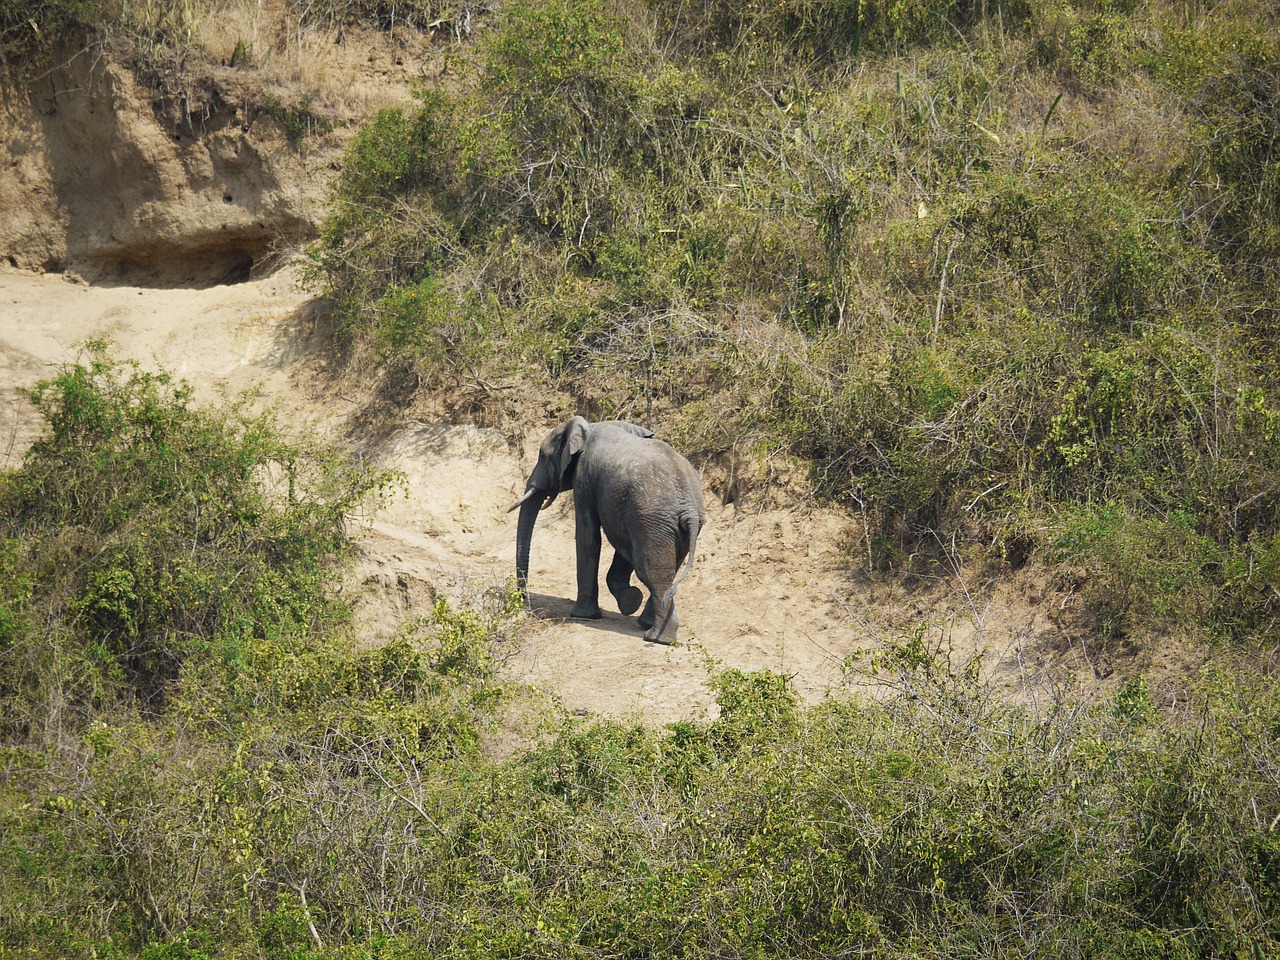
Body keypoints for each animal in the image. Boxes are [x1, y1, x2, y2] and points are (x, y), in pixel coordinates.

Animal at [509, 414, 706, 647]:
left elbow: (588, 537)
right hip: (667, 524)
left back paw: (657, 638)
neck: (590, 426)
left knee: (649, 570)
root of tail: (690, 507)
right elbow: (622, 546)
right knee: (663, 568)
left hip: (655, 520)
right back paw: (648, 626)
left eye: (542, 455)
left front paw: (583, 615)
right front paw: (629, 601)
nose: (522, 600)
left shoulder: (584, 477)